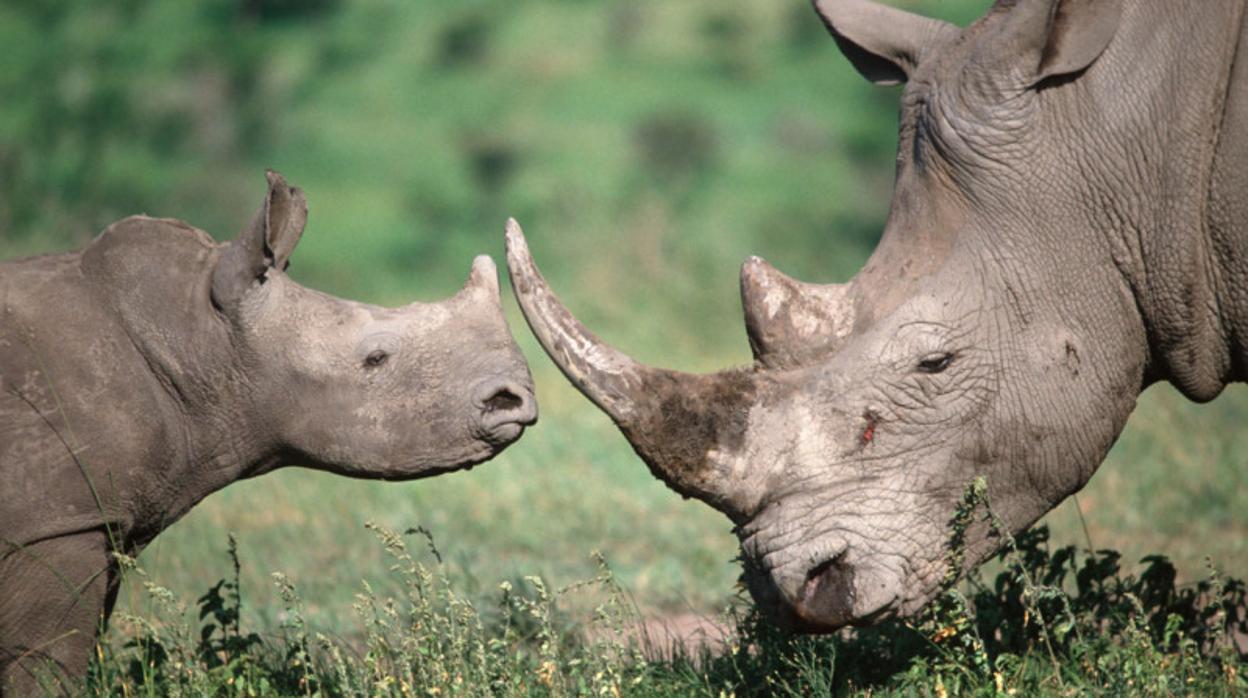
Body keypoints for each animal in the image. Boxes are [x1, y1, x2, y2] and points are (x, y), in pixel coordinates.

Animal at [0, 171, 536, 694]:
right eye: (376, 359)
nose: (512, 399)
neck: (200, 338)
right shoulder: (61, 523)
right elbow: (44, 665)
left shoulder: (99, 519)